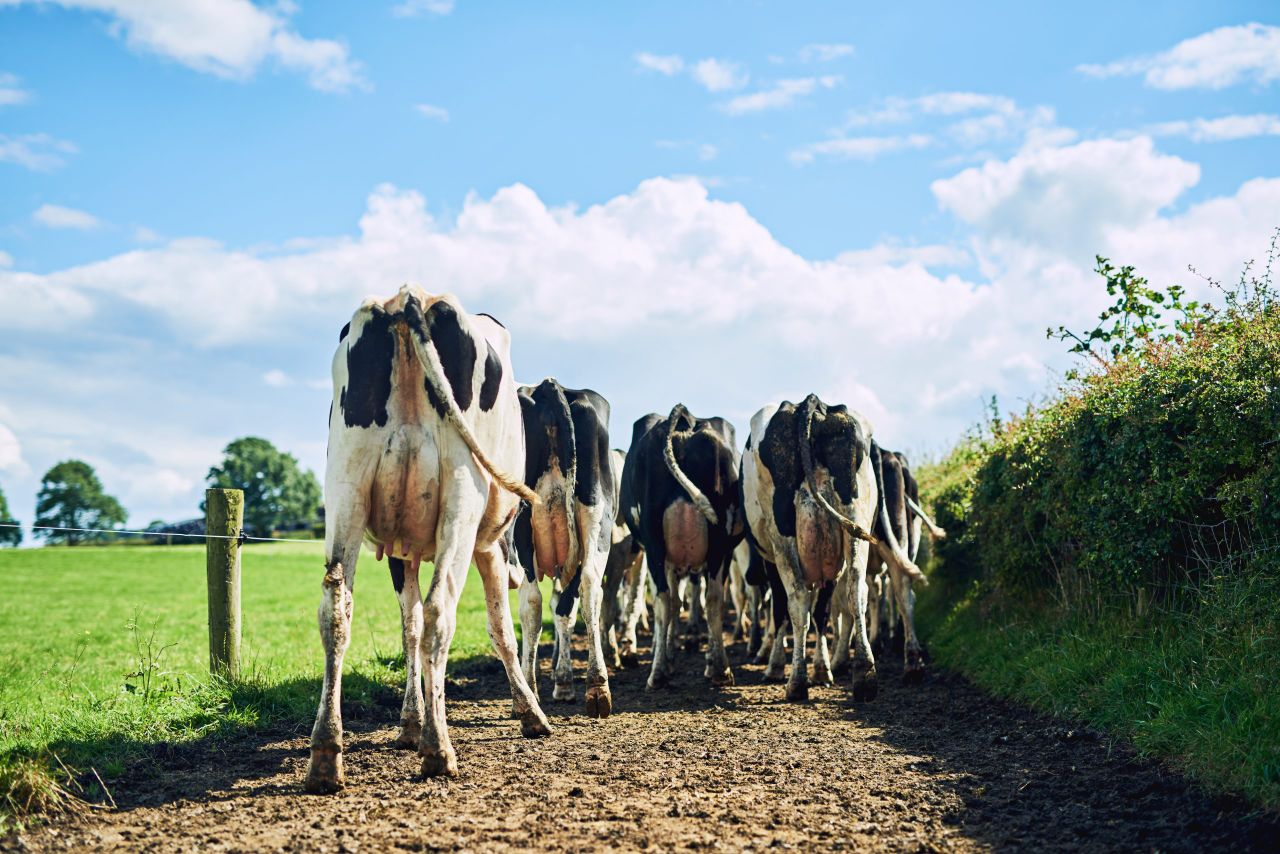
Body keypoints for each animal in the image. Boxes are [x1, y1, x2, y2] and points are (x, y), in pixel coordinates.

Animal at [307, 286, 551, 793]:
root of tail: (407, 298)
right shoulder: (489, 546)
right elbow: (500, 629)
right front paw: (529, 712)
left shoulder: (400, 552)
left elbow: (409, 628)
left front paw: (409, 722)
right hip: (463, 492)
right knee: (442, 609)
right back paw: (439, 749)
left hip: (345, 488)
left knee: (335, 609)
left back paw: (325, 753)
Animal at [509, 379, 617, 717]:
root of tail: (549, 385)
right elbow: (564, 613)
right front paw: (565, 683)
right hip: (596, 517)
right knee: (590, 587)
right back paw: (597, 687)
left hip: (523, 527)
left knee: (531, 603)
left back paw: (528, 692)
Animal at [621, 405, 744, 690]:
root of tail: (686, 422)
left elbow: (675, 604)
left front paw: (668, 653)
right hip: (718, 541)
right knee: (712, 598)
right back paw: (719, 669)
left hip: (655, 541)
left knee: (666, 600)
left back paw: (659, 673)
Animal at [741, 395, 925, 702]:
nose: (750, 575)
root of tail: (812, 403)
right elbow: (824, 612)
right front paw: (822, 669)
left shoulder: (770, 561)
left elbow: (784, 612)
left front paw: (778, 665)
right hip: (869, 527)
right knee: (874, 591)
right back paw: (880, 670)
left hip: (783, 536)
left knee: (798, 600)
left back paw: (797, 683)